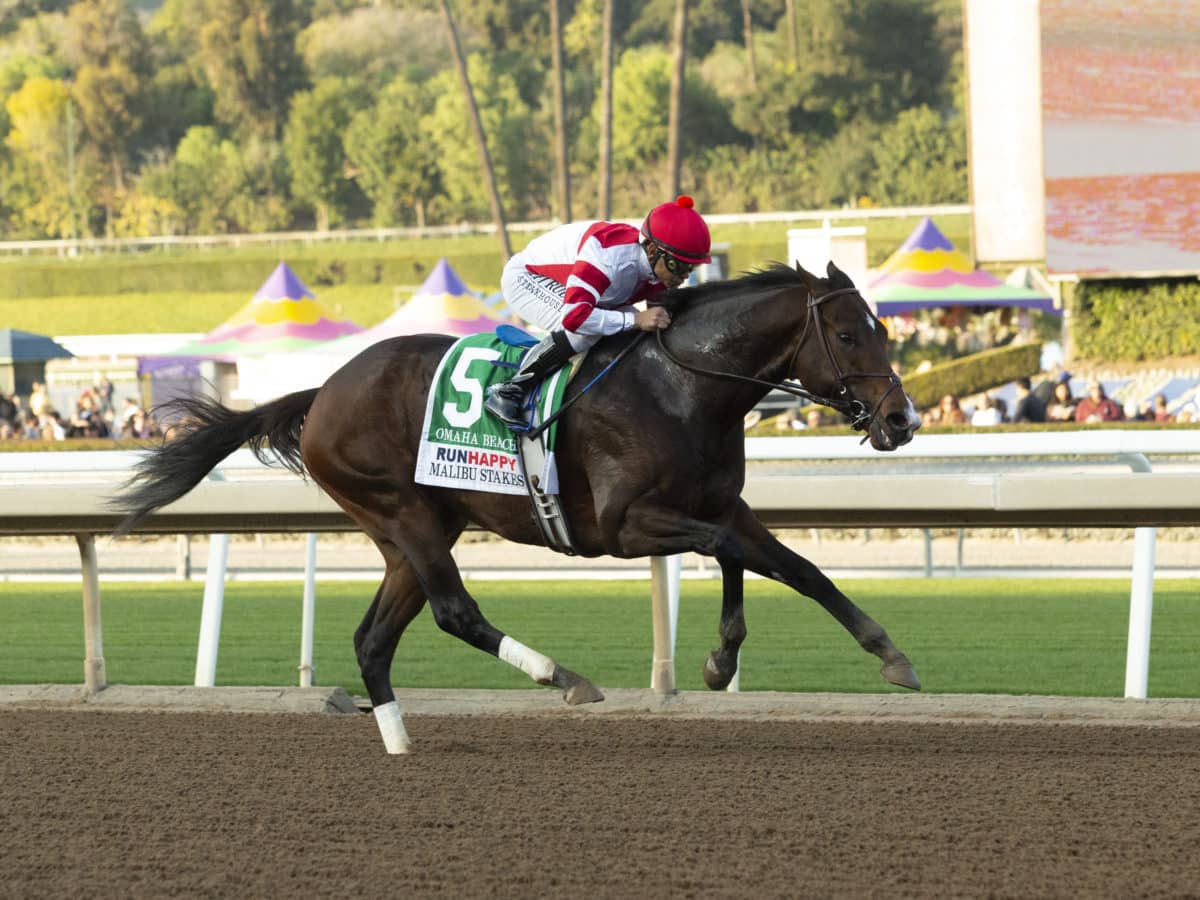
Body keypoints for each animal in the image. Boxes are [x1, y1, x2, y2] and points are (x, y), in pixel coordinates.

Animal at [114, 260, 916, 753]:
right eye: (850, 333)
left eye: (884, 328)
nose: (902, 420)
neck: (682, 385)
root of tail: (323, 392)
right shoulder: (626, 527)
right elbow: (732, 550)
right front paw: (722, 658)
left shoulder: (721, 502)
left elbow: (789, 566)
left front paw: (887, 653)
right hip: (404, 513)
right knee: (454, 612)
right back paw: (561, 678)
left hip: (413, 532)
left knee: (375, 638)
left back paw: (399, 740)